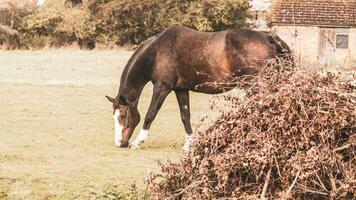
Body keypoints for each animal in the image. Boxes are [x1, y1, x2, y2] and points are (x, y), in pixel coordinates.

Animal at [105, 25, 292, 150]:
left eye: (122, 115)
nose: (120, 143)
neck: (156, 51)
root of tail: (267, 36)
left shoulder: (162, 88)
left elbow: (150, 115)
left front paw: (138, 141)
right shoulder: (180, 89)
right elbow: (185, 116)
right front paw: (189, 145)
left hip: (255, 85)